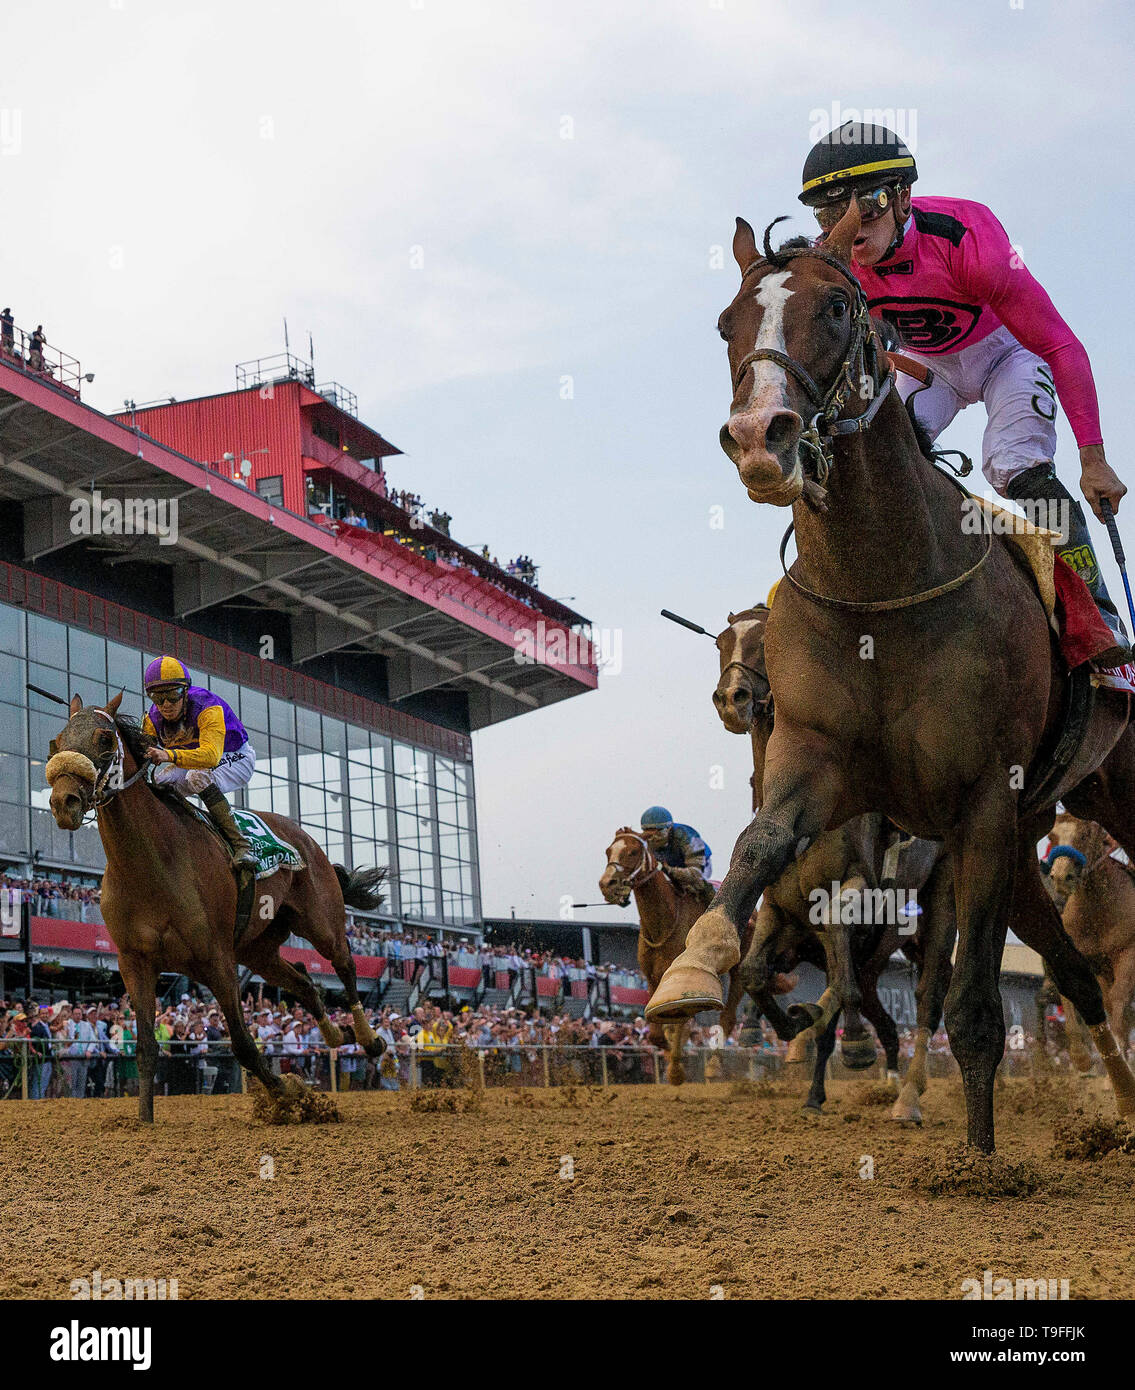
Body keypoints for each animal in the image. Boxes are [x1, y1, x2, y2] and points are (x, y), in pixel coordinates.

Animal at [47, 695, 386, 1117]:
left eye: (105, 738)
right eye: (57, 741)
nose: (63, 802)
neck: (151, 865)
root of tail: (305, 838)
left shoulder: (217, 960)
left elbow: (242, 1044)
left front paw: (286, 1093)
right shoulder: (134, 962)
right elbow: (145, 1048)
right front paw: (143, 1120)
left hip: (321, 923)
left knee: (344, 966)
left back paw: (367, 1037)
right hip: (258, 950)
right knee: (307, 984)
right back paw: (336, 1034)